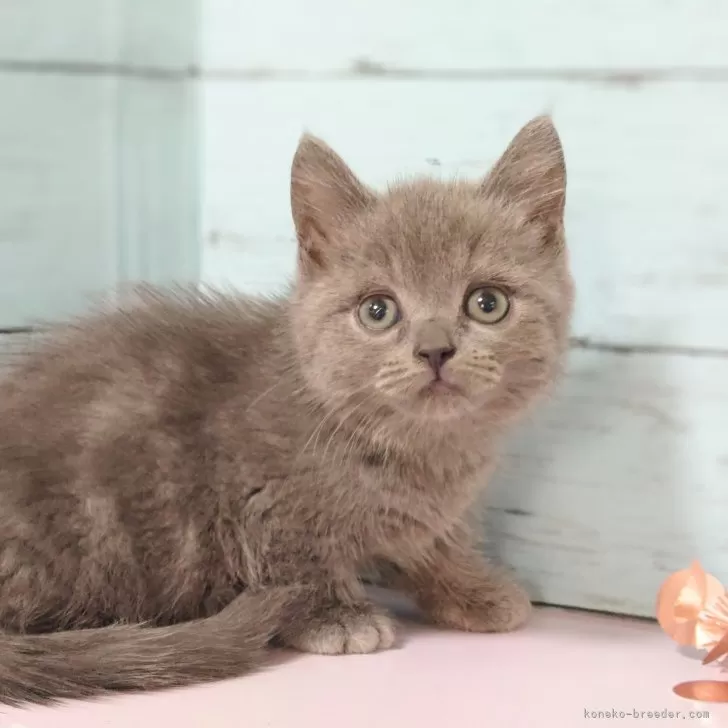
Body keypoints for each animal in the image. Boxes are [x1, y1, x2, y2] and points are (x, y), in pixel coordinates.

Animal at [0, 114, 573, 705]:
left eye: (488, 303)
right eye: (377, 310)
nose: (435, 349)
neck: (417, 450)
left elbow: (434, 540)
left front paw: (471, 588)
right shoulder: (260, 496)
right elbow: (292, 556)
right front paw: (334, 615)